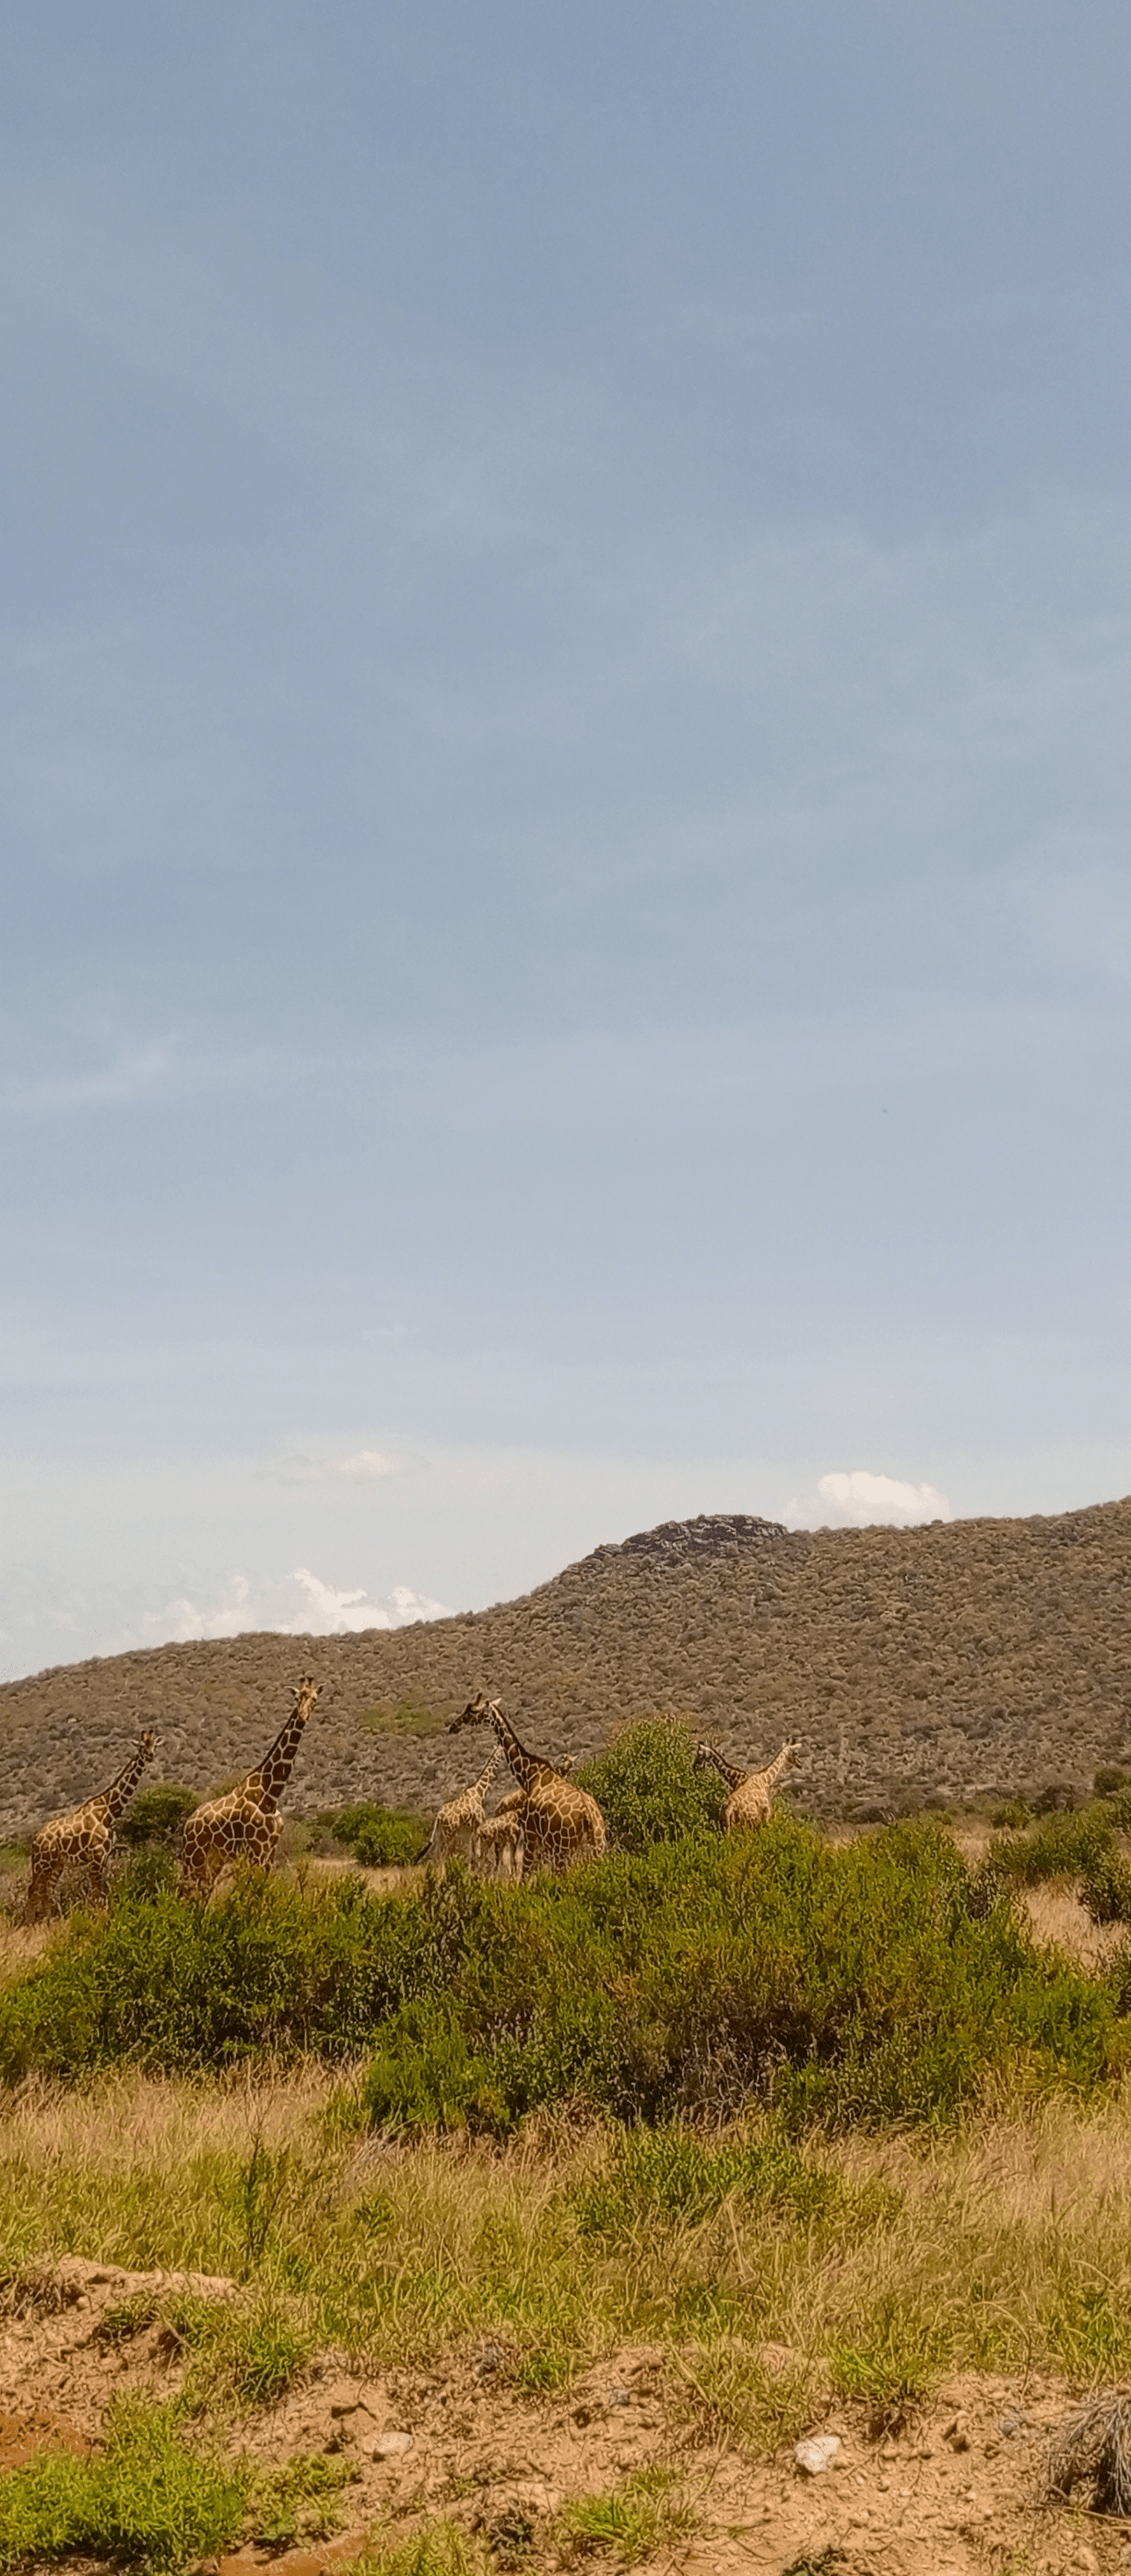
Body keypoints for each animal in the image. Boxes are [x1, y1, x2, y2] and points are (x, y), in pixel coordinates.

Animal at [23, 1730, 158, 1922]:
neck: (109, 1812)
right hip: (43, 1863)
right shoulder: (97, 1856)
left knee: (48, 1891)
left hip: (57, 1865)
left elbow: (100, 1894)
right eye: (141, 1746)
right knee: (33, 1890)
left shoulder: (105, 1857)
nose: (150, 1755)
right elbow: (97, 1895)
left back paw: (48, 1923)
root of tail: (36, 1839)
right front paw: (99, 1922)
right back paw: (29, 1925)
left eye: (154, 1744)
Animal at [177, 1677, 319, 1898]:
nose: (304, 1716)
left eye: (314, 1699)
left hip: (214, 1858)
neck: (270, 1795)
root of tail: (188, 1823)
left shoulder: (270, 1853)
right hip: (195, 1853)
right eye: (297, 1698)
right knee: (186, 1889)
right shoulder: (256, 1850)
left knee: (203, 1891)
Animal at [424, 1746, 505, 1866]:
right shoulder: (478, 1825)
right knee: (442, 1855)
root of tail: (439, 1816)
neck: (480, 1793)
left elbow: (470, 1853)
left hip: (440, 1833)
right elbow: (476, 1852)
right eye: (501, 1751)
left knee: (435, 1854)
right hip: (449, 1832)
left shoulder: (469, 1831)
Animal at [448, 1695, 606, 1873]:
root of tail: (589, 1818)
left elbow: (526, 1871)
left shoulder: (531, 1834)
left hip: (564, 1849)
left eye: (473, 1711)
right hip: (598, 1847)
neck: (530, 1775)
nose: (454, 1726)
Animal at [693, 1737, 799, 1832]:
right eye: (795, 1753)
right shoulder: (766, 1815)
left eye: (700, 1754)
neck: (765, 1779)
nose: (800, 1764)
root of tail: (729, 1809)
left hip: (730, 1826)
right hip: (746, 1824)